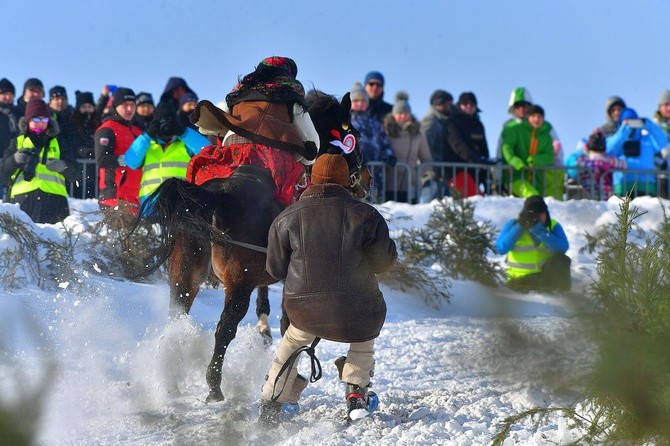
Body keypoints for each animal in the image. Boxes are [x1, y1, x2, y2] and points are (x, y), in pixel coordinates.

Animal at [135, 91, 370, 404]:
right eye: (352, 134)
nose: (367, 178)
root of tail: (212, 198)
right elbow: (288, 323)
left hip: (184, 271)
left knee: (177, 316)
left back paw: (171, 377)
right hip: (237, 281)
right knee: (224, 328)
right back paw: (214, 385)